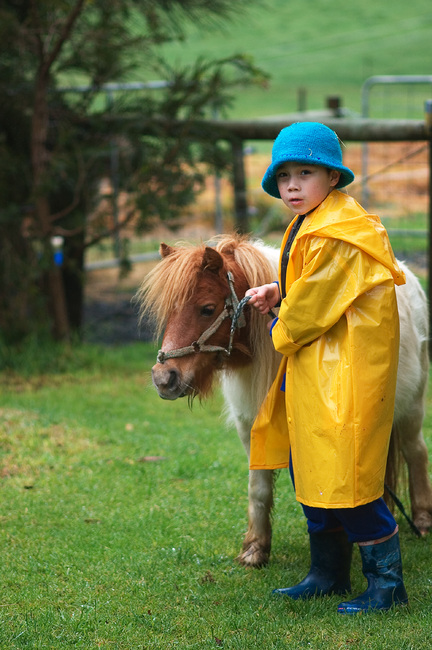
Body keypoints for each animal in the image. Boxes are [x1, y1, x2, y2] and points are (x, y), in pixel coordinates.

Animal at [138, 234, 432, 568]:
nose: (164, 378)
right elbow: (259, 488)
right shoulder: (250, 427)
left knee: (416, 452)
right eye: (168, 311)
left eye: (207, 308)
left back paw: (422, 520)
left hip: (410, 409)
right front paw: (254, 549)